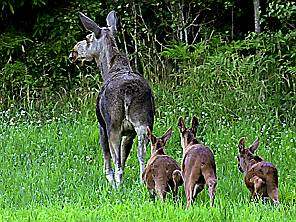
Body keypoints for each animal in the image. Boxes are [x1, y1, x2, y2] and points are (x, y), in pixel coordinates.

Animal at [67, 10, 155, 187]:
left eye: (88, 38)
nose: (73, 52)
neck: (108, 68)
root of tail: (128, 91)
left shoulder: (101, 125)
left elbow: (108, 155)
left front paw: (109, 179)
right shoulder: (130, 132)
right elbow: (126, 154)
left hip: (113, 126)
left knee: (117, 161)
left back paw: (117, 185)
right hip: (144, 124)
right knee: (142, 154)